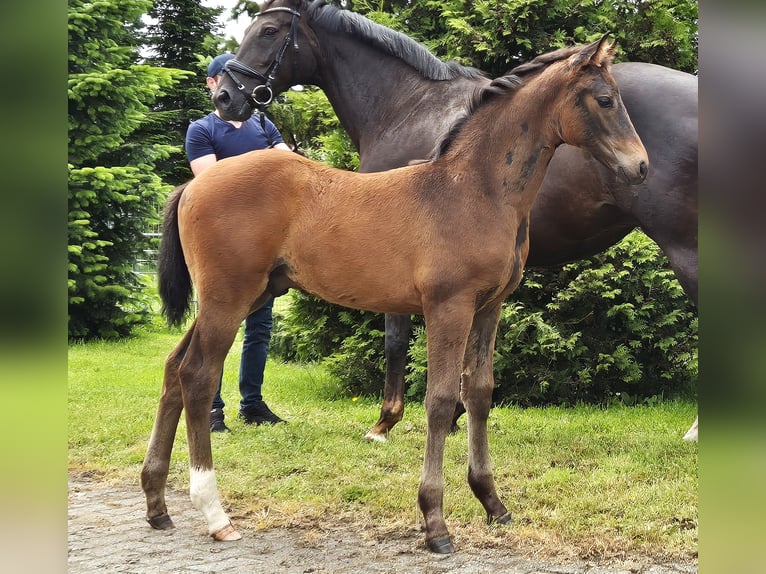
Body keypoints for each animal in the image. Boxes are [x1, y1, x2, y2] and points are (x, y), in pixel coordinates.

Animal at [142, 39, 648, 552]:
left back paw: (157, 504)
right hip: (228, 297)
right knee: (198, 375)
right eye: (605, 100)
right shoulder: (448, 306)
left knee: (173, 368)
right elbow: (441, 400)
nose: (641, 166)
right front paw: (435, 522)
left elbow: (479, 393)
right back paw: (213, 512)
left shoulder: (489, 307)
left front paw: (493, 503)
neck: (474, 191)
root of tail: (193, 184)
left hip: (245, 295)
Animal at [216, 0, 704, 440]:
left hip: (687, 249)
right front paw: (453, 418)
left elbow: (396, 340)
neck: (405, 106)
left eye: (269, 31)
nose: (225, 97)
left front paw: (385, 422)